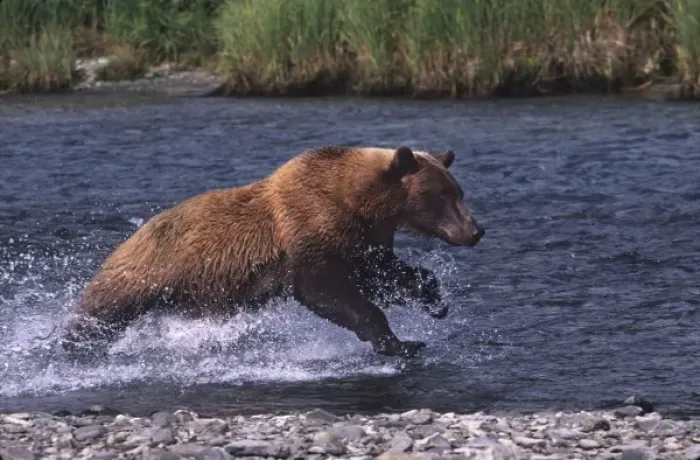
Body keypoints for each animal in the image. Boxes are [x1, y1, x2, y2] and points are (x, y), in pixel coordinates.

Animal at [61, 145, 485, 360]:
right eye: (441, 194)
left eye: (458, 190)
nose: (476, 231)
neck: (359, 200)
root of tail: (130, 236)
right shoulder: (309, 228)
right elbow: (326, 290)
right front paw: (398, 343)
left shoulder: (362, 240)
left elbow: (382, 273)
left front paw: (435, 300)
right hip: (145, 271)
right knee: (102, 311)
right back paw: (74, 343)